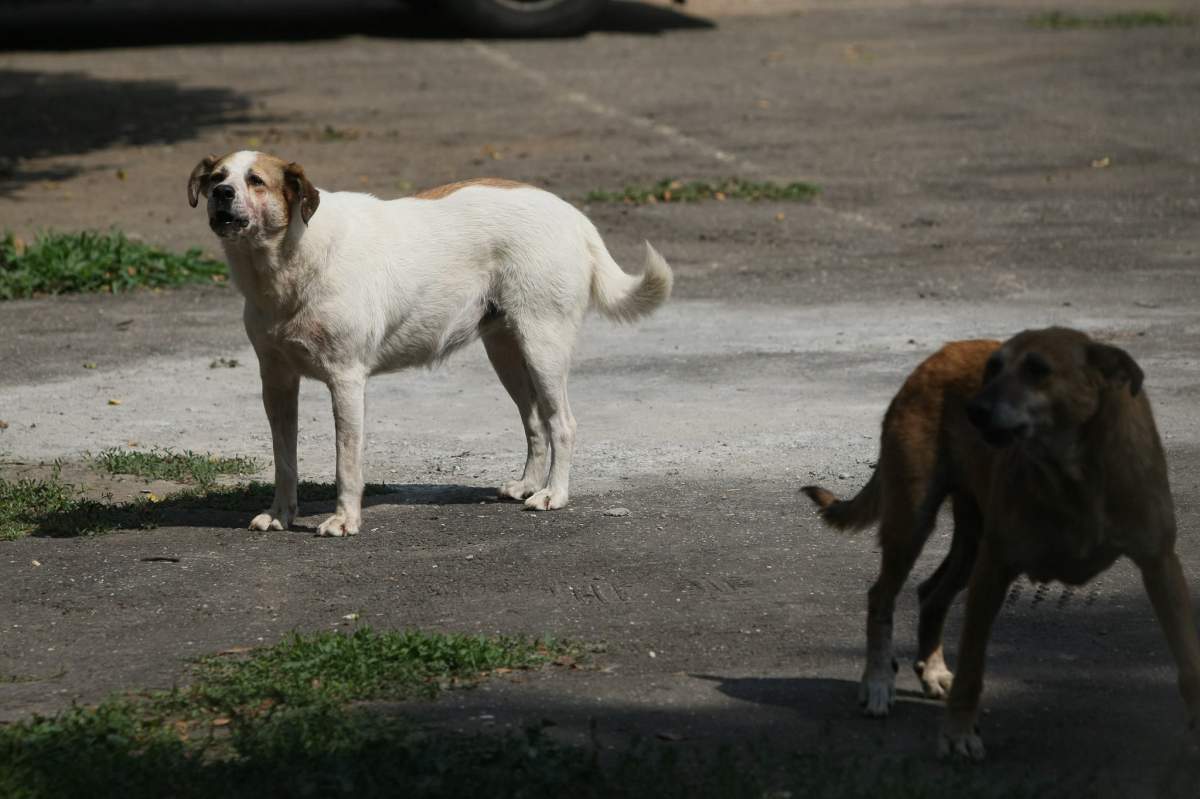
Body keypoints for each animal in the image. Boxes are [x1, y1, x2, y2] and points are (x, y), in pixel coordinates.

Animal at [188, 149, 676, 535]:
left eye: (255, 180)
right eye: (217, 177)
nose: (221, 194)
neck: (289, 260)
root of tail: (572, 215)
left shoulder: (346, 381)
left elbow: (346, 462)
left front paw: (344, 520)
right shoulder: (276, 383)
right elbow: (284, 459)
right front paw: (280, 515)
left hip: (543, 346)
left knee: (563, 423)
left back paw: (553, 494)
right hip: (507, 353)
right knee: (536, 422)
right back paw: (527, 485)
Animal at [806, 328, 1200, 758]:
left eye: (1038, 369)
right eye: (992, 369)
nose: (974, 411)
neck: (1076, 473)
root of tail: (936, 357)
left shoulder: (1160, 565)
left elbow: (1188, 659)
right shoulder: (994, 571)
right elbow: (972, 668)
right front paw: (958, 733)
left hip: (971, 542)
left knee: (931, 594)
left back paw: (933, 670)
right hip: (912, 522)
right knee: (881, 596)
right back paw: (878, 682)